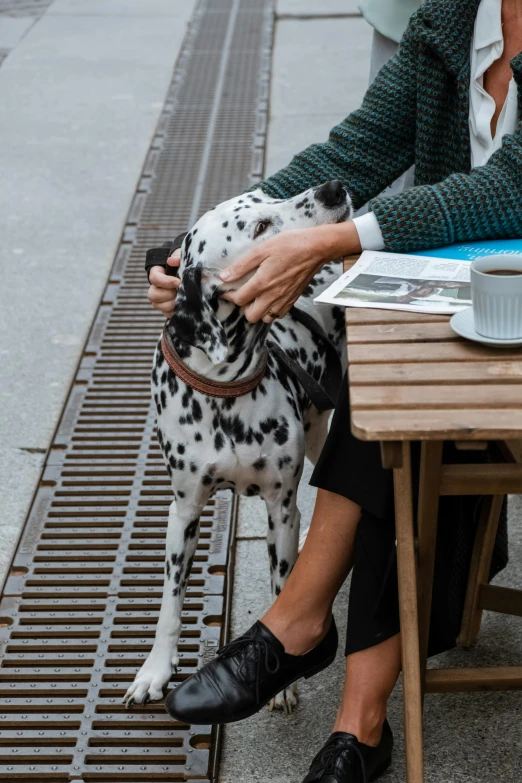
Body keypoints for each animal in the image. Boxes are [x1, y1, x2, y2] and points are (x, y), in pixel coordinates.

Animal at [123, 179, 350, 716]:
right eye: (261, 225)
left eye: (269, 194)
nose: (333, 188)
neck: (224, 392)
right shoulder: (183, 512)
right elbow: (170, 604)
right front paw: (154, 671)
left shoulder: (280, 508)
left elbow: (283, 585)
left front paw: (285, 678)